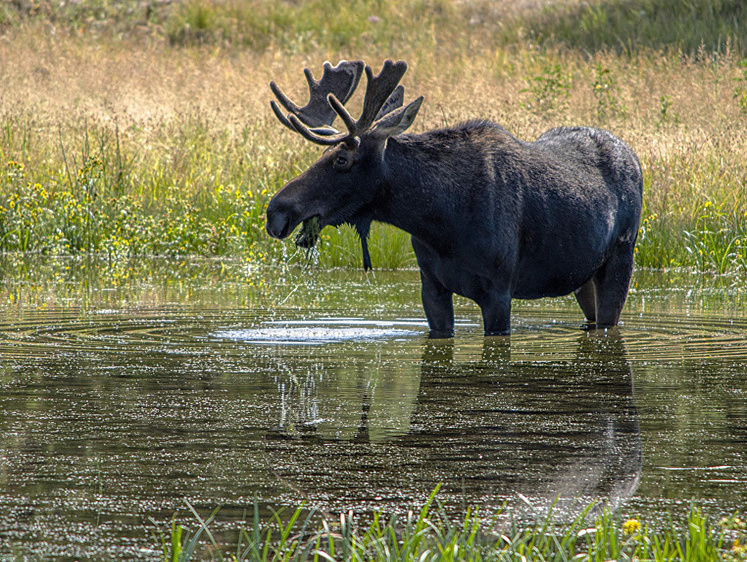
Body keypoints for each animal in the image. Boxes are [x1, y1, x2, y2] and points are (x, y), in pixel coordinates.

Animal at [266, 60, 644, 336]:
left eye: (342, 159)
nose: (276, 211)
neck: (439, 220)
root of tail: (634, 157)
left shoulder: (498, 291)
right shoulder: (431, 287)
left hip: (621, 259)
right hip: (583, 275)